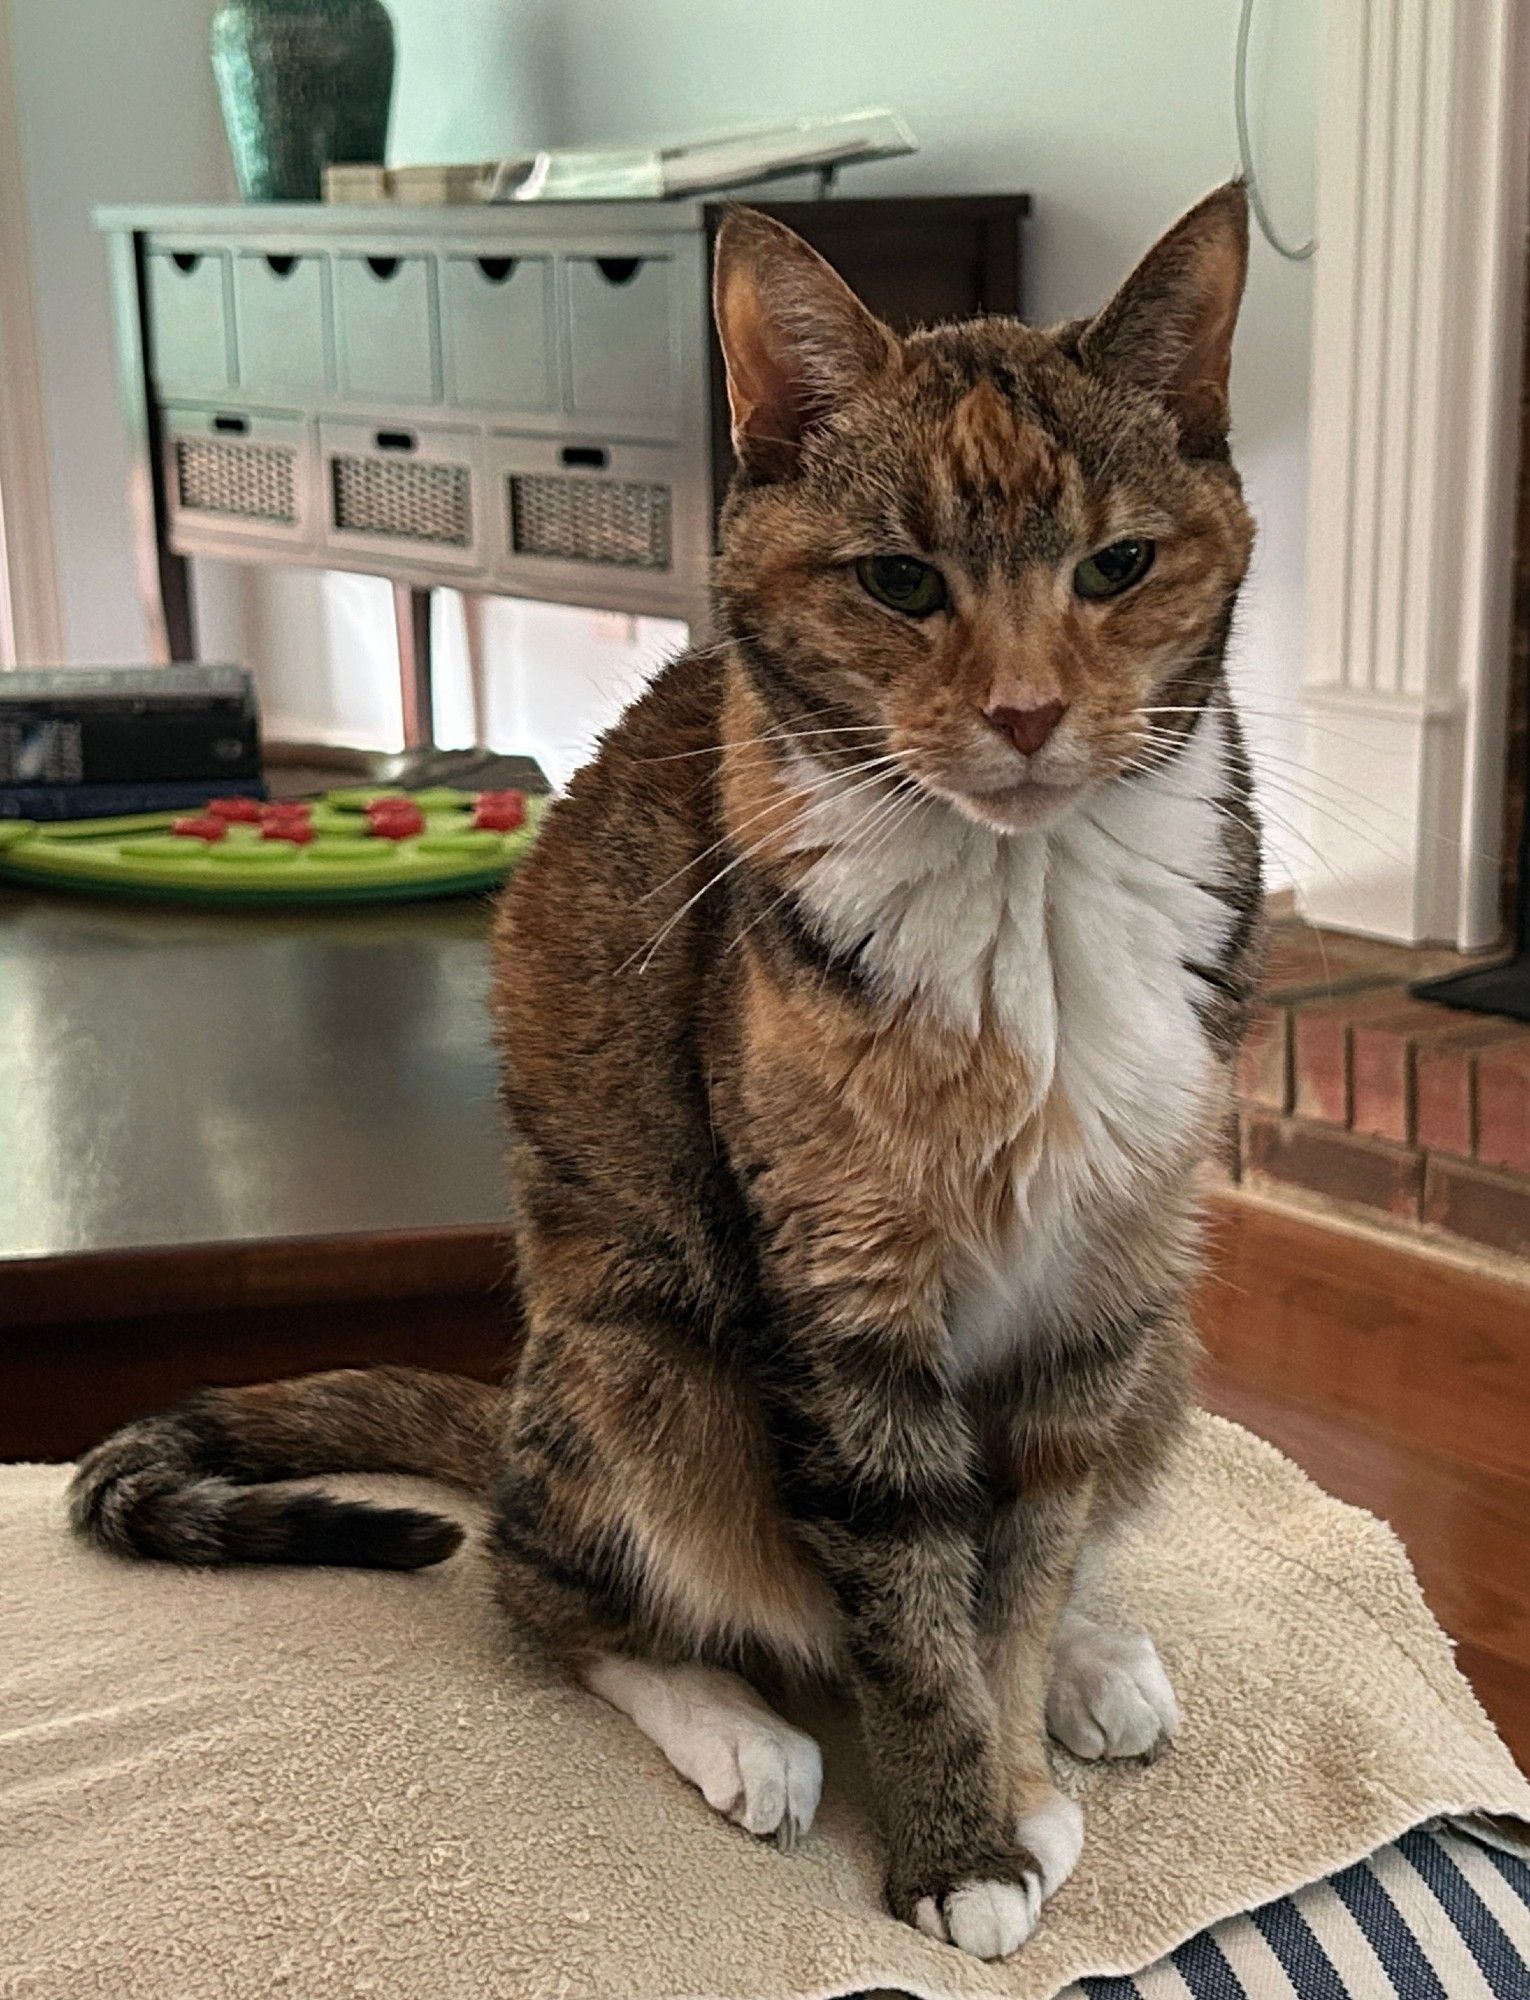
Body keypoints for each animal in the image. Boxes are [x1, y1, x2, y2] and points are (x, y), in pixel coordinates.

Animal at [68, 180, 1256, 1960]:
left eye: (1117, 565)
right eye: (898, 580)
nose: (1027, 711)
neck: (1026, 907)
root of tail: (513, 1411)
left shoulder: (1096, 1291)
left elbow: (1030, 1553)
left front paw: (1024, 1741)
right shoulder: (843, 1298)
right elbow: (906, 1589)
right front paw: (962, 1843)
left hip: (1165, 1338)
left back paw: (1094, 1661)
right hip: (648, 1355)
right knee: (548, 1586)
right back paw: (740, 1728)